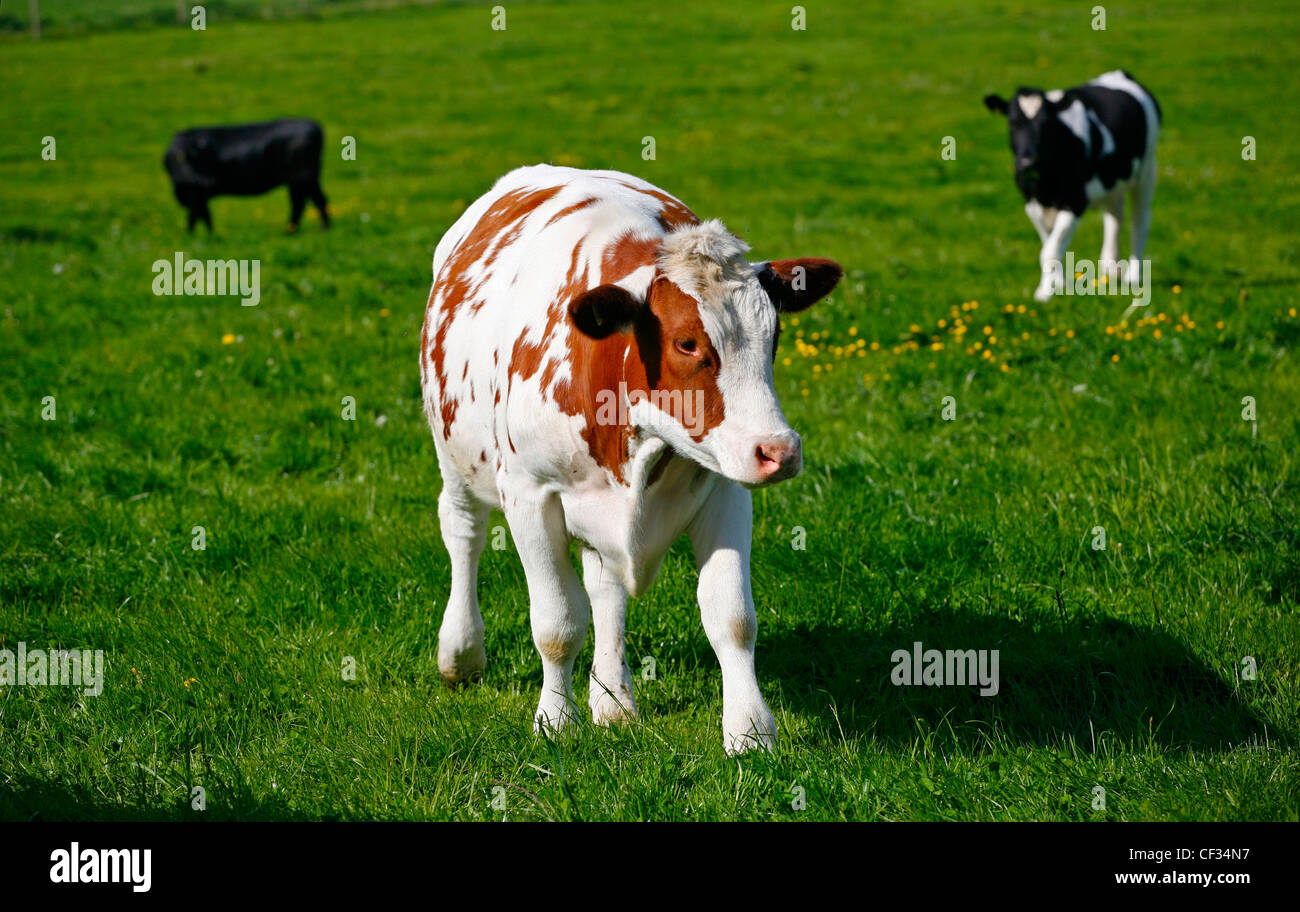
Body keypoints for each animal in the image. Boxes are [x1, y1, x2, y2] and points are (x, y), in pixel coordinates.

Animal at [163, 118, 330, 233]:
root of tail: (315, 125)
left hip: (305, 177)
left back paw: (323, 229)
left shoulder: (196, 195)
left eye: (183, 157)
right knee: (300, 203)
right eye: (173, 161)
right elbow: (204, 215)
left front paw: (192, 237)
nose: (206, 182)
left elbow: (195, 216)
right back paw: (290, 231)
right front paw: (209, 237)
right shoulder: (198, 195)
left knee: (316, 201)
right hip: (298, 181)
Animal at [420, 165, 842, 753]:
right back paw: (461, 653)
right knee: (463, 533)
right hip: (452, 453)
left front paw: (750, 731)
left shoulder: (726, 488)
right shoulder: (529, 495)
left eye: (774, 334)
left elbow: (731, 617)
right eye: (686, 342)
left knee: (606, 588)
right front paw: (555, 720)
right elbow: (557, 622)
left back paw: (614, 700)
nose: (780, 451)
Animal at [984, 70, 1161, 301]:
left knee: (1140, 220)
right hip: (1114, 181)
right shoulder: (1031, 203)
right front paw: (1057, 284)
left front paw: (1045, 293)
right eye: (1013, 122)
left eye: (1045, 123)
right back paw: (1111, 268)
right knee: (1114, 218)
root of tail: (1122, 74)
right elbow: (1049, 244)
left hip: (1147, 170)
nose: (1028, 162)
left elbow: (1049, 250)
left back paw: (1133, 275)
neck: (1044, 184)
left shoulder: (1075, 201)